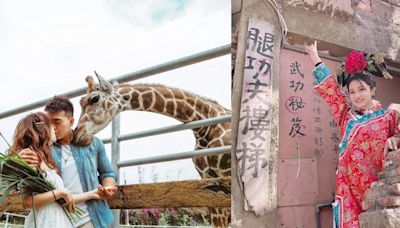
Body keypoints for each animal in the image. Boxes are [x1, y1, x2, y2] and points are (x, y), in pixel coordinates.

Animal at [72, 73, 231, 228]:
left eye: (94, 98)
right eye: (80, 102)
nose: (77, 135)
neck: (204, 126)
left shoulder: (224, 175)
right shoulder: (208, 179)